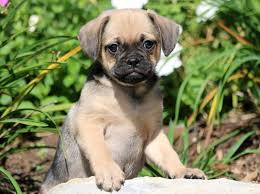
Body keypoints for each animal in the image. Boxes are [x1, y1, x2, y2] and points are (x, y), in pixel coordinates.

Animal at [41, 9, 205, 194]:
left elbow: (168, 154)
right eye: (113, 47)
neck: (130, 92)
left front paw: (183, 171)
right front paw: (109, 173)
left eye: (148, 44)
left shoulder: (154, 134)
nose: (133, 60)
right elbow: (100, 150)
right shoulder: (89, 125)